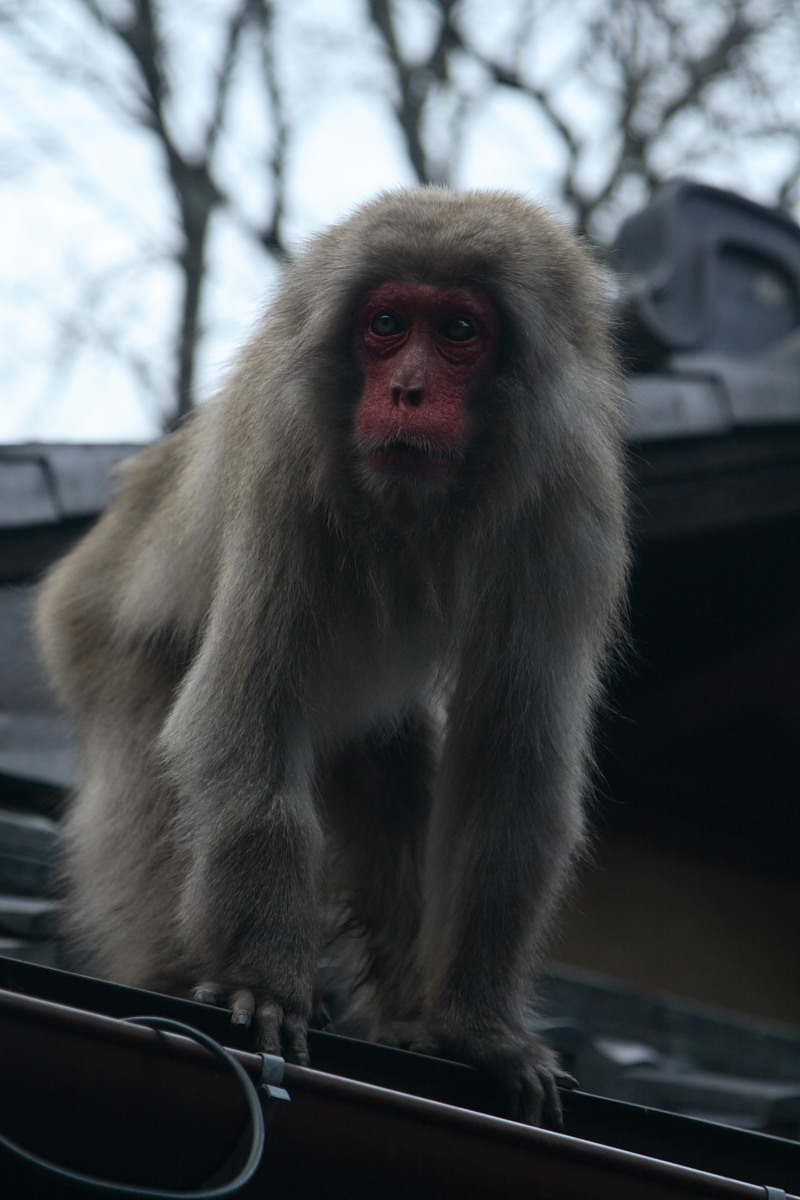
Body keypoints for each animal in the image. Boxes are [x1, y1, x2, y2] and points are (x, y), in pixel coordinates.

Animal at [34, 187, 628, 1123]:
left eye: (458, 329)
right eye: (386, 323)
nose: (408, 391)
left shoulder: (570, 504)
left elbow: (510, 766)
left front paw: (481, 1029)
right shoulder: (284, 464)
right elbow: (242, 721)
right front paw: (268, 983)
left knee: (393, 769)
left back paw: (413, 1015)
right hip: (92, 631)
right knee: (154, 761)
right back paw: (174, 971)